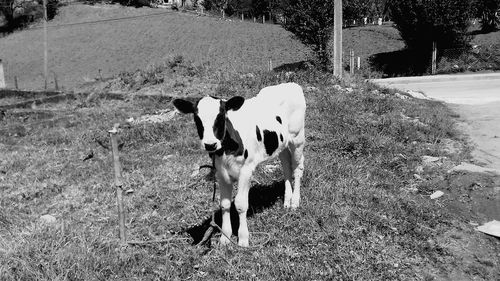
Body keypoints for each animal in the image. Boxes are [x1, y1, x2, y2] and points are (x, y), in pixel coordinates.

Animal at [172, 82, 306, 246]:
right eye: (197, 119)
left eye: (221, 117)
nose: (210, 144)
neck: (225, 150)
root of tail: (291, 84)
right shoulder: (220, 173)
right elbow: (225, 204)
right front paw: (225, 237)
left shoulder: (246, 171)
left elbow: (241, 205)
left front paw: (242, 239)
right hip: (281, 144)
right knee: (286, 167)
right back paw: (287, 200)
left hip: (297, 138)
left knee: (298, 168)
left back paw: (295, 202)